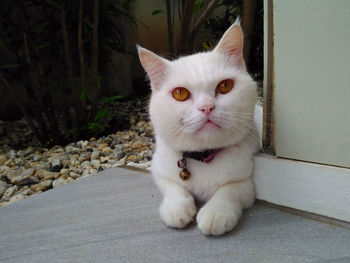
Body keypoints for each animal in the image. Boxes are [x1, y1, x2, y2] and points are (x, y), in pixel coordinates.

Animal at [138, 19, 258, 236]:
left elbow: (229, 190)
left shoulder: (246, 183)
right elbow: (174, 187)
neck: (203, 158)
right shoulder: (159, 170)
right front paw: (176, 209)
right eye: (180, 93)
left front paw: (215, 213)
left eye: (225, 86)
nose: (206, 107)